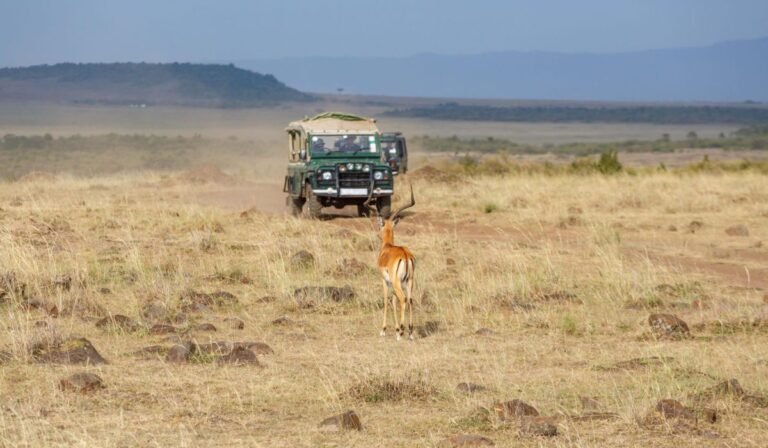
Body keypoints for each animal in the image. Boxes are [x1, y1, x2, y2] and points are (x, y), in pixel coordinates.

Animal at [364, 185, 416, 340]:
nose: (378, 234)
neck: (387, 247)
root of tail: (405, 255)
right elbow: (393, 301)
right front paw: (396, 328)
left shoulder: (385, 280)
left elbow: (386, 300)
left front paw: (384, 330)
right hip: (409, 282)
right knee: (410, 300)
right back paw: (410, 332)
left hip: (397, 283)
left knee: (403, 299)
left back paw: (402, 333)